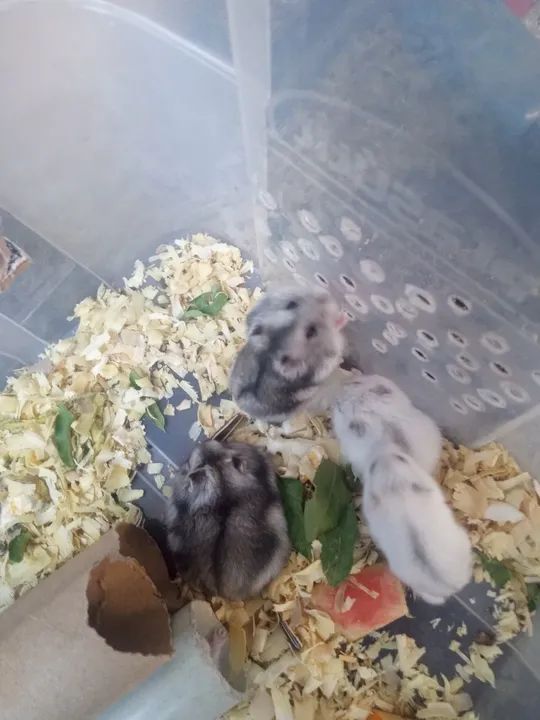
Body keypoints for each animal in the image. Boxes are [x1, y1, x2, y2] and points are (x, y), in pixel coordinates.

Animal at [230, 288, 348, 423]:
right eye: (311, 331)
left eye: (292, 304)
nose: (326, 295)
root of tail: (240, 407)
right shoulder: (326, 362)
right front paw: (344, 317)